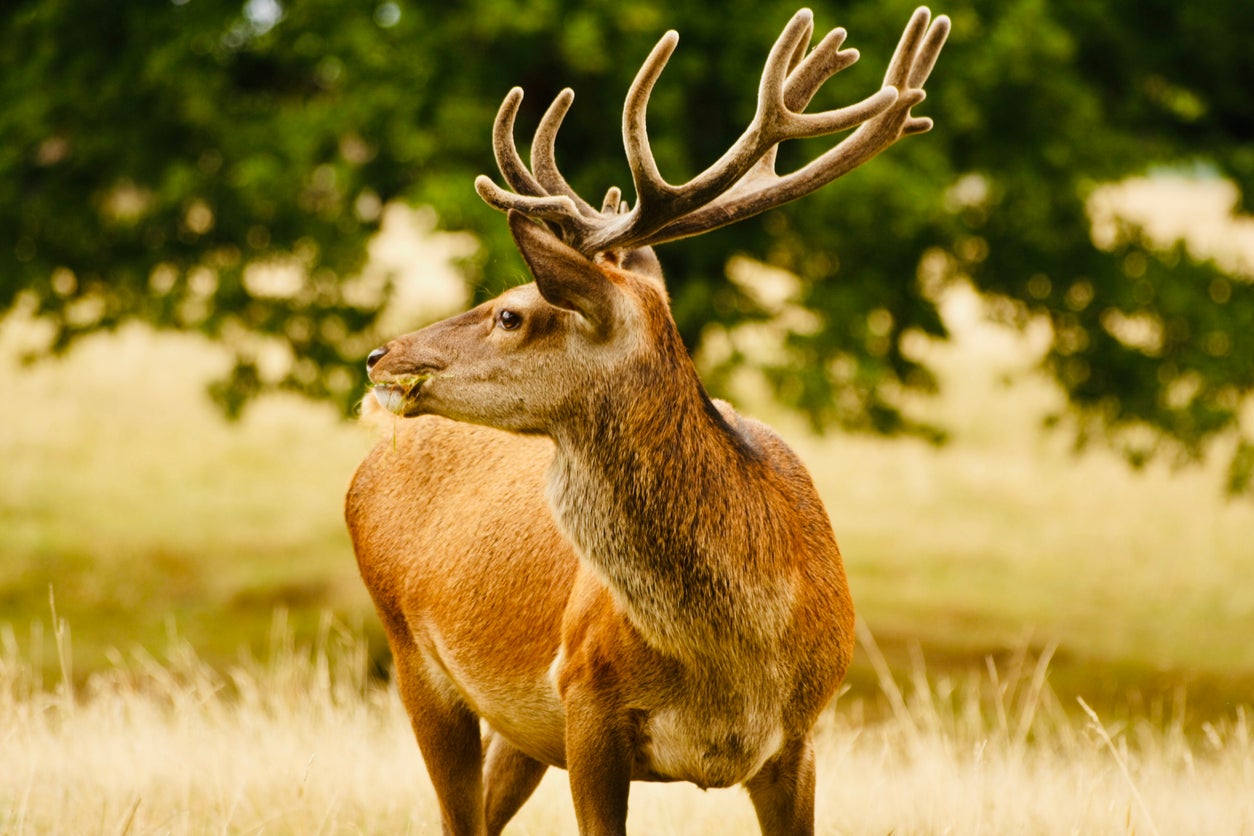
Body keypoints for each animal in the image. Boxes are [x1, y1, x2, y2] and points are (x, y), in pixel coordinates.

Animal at [346, 8, 948, 836]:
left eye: (512, 312)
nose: (382, 355)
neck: (736, 660)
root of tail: (367, 467)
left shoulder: (802, 736)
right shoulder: (586, 700)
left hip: (514, 724)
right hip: (411, 652)